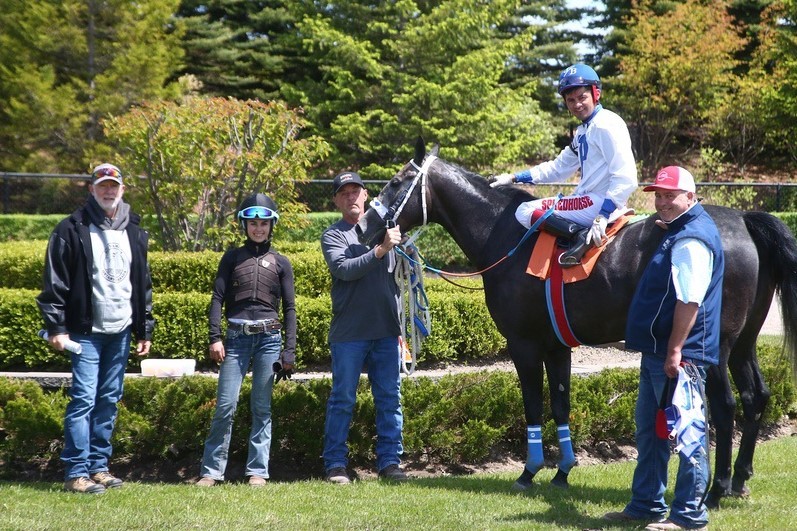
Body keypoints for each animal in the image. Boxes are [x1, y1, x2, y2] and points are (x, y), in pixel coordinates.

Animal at [360, 140, 796, 508]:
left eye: (396, 182)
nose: (364, 226)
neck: (506, 236)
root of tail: (743, 220)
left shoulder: (523, 343)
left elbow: (533, 406)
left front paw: (529, 471)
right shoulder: (556, 346)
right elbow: (560, 404)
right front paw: (562, 472)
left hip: (713, 345)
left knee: (725, 406)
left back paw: (717, 489)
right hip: (744, 344)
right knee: (756, 397)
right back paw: (739, 480)